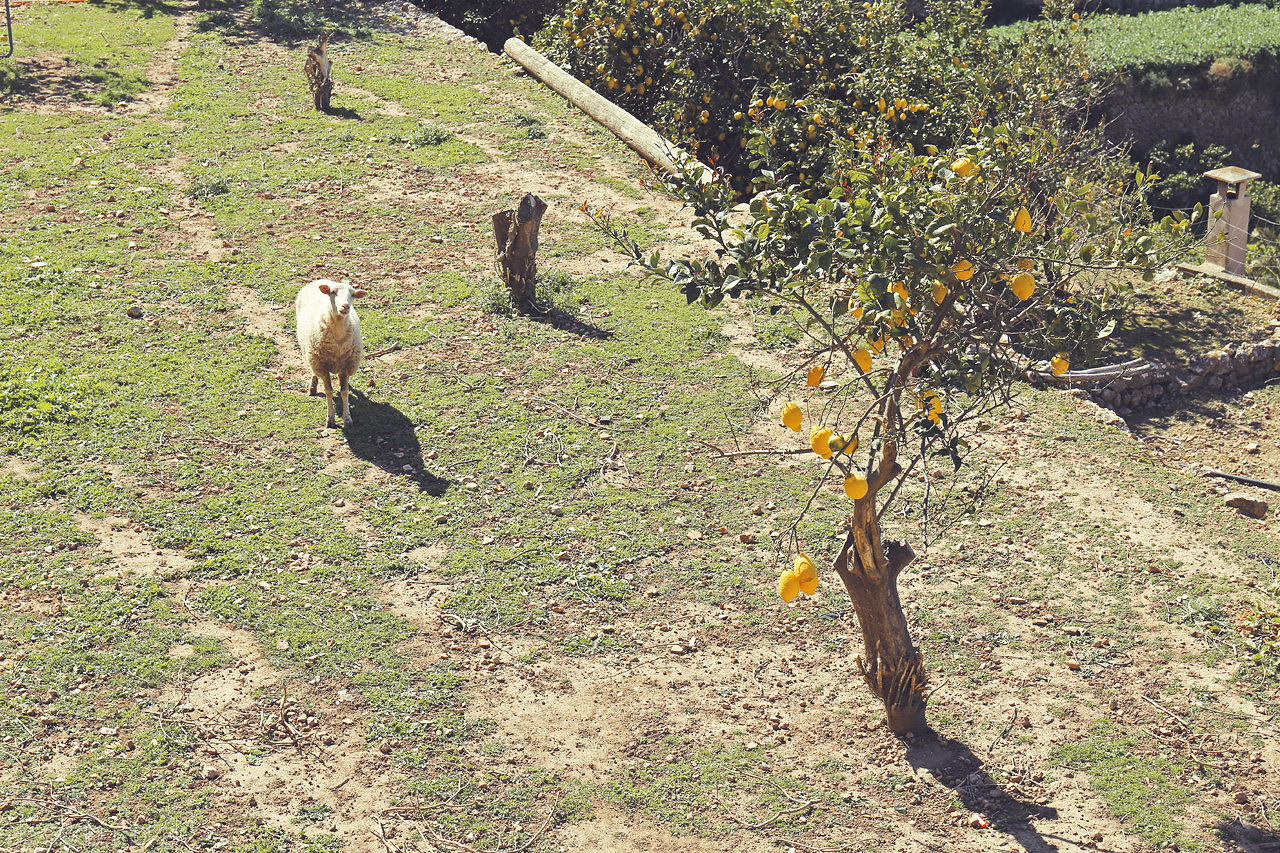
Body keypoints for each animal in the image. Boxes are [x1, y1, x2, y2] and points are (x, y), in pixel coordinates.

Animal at [293, 277, 366, 425]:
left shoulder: (347, 366)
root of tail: (320, 280)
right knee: (314, 371)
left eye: (353, 295)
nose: (345, 306)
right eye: (333, 292)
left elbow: (344, 391)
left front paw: (347, 418)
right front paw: (330, 418)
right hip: (312, 354)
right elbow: (329, 392)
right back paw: (313, 387)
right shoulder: (322, 367)